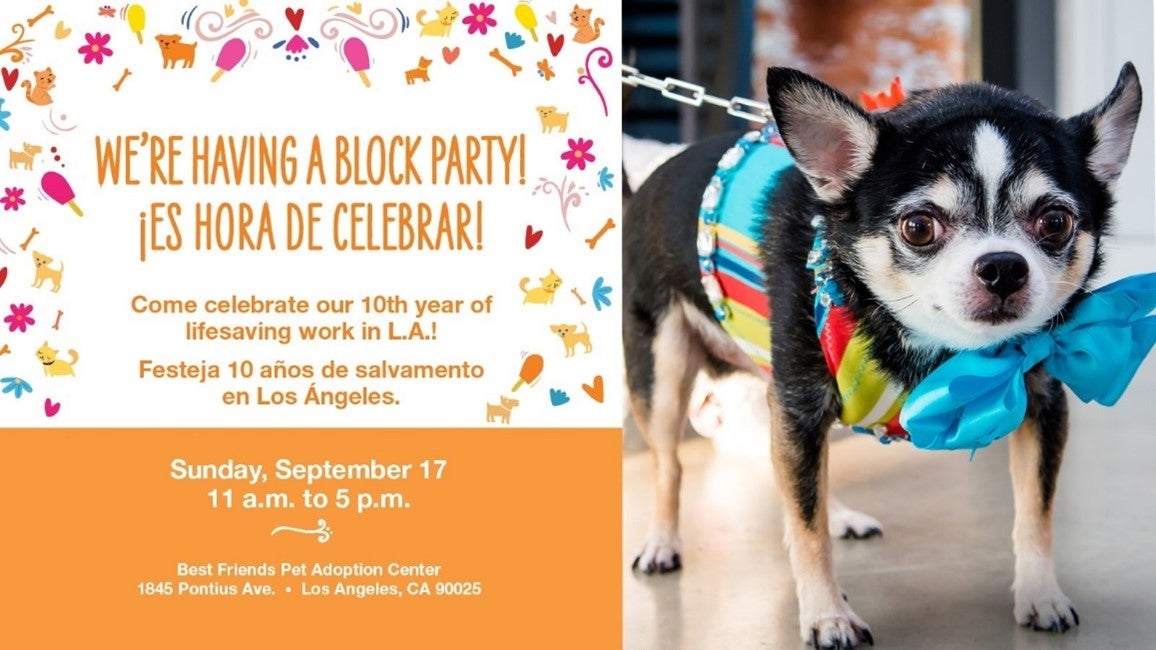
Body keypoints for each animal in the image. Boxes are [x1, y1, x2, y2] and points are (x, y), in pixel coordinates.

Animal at [624, 63, 1137, 643]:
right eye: (919, 227)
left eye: (1055, 222)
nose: (1004, 265)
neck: (935, 346)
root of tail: (648, 181)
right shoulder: (799, 407)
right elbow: (806, 528)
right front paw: (826, 615)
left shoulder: (1042, 405)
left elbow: (1036, 512)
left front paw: (1041, 594)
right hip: (663, 373)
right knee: (671, 466)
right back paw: (661, 542)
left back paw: (840, 515)